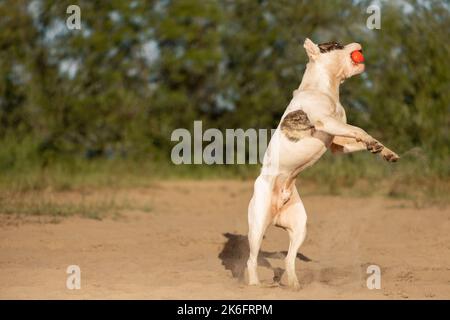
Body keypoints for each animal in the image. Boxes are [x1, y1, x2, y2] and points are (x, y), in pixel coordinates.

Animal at [248, 38, 400, 290]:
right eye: (336, 45)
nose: (357, 42)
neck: (324, 87)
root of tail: (278, 207)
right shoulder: (326, 122)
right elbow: (359, 129)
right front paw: (371, 141)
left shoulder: (337, 142)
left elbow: (357, 137)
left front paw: (384, 151)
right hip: (258, 223)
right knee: (251, 259)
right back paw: (254, 287)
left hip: (300, 226)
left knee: (289, 259)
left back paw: (295, 285)